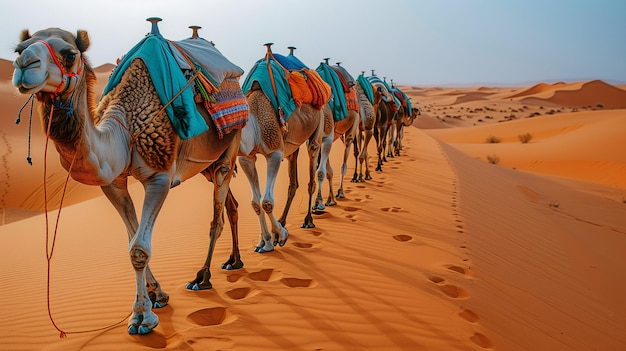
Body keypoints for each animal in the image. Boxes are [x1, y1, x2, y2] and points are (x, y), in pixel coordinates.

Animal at [11, 21, 246, 336]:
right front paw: (157, 295)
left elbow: (138, 249)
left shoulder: (159, 177)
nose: (25, 65)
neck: (122, 130)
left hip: (230, 145)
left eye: (69, 55)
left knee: (217, 214)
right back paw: (234, 261)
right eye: (19, 50)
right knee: (231, 205)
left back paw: (202, 277)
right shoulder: (113, 184)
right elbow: (131, 237)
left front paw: (141, 317)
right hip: (205, 165)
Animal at [236, 44, 330, 253]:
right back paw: (284, 221)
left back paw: (308, 220)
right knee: (293, 184)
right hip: (291, 148)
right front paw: (264, 241)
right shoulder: (246, 158)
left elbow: (266, 201)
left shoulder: (274, 152)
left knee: (311, 174)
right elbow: (255, 202)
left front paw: (280, 236)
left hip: (317, 126)